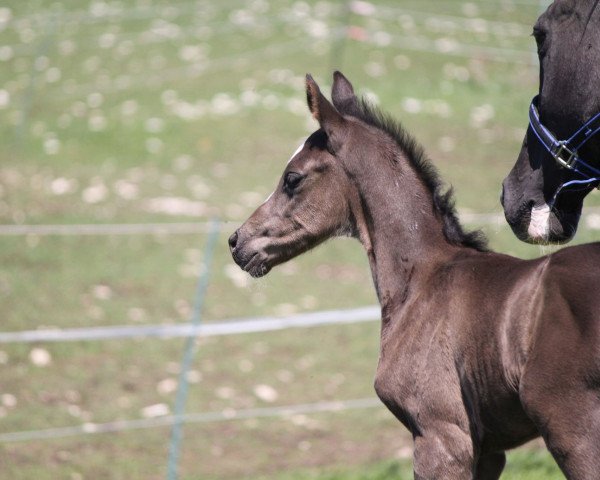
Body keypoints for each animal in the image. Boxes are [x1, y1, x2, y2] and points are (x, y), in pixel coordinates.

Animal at [229, 73, 600, 478]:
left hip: (572, 430)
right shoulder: (488, 451)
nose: (237, 241)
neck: (422, 280)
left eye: (292, 179)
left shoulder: (440, 436)